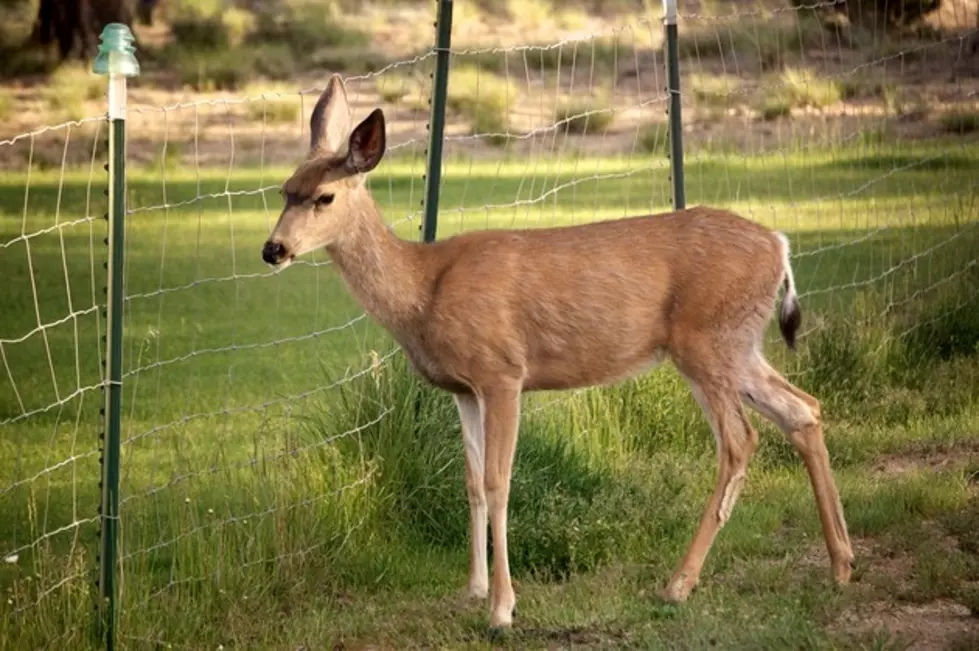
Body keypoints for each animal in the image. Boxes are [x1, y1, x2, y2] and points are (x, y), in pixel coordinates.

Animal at [260, 74, 848, 636]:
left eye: (324, 198)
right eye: (285, 190)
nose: (273, 249)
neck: (422, 291)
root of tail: (780, 244)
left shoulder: (502, 371)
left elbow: (498, 482)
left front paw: (502, 609)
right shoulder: (462, 389)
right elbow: (471, 483)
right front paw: (472, 590)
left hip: (706, 342)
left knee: (740, 440)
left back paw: (680, 583)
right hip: (737, 344)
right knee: (803, 408)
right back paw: (841, 563)